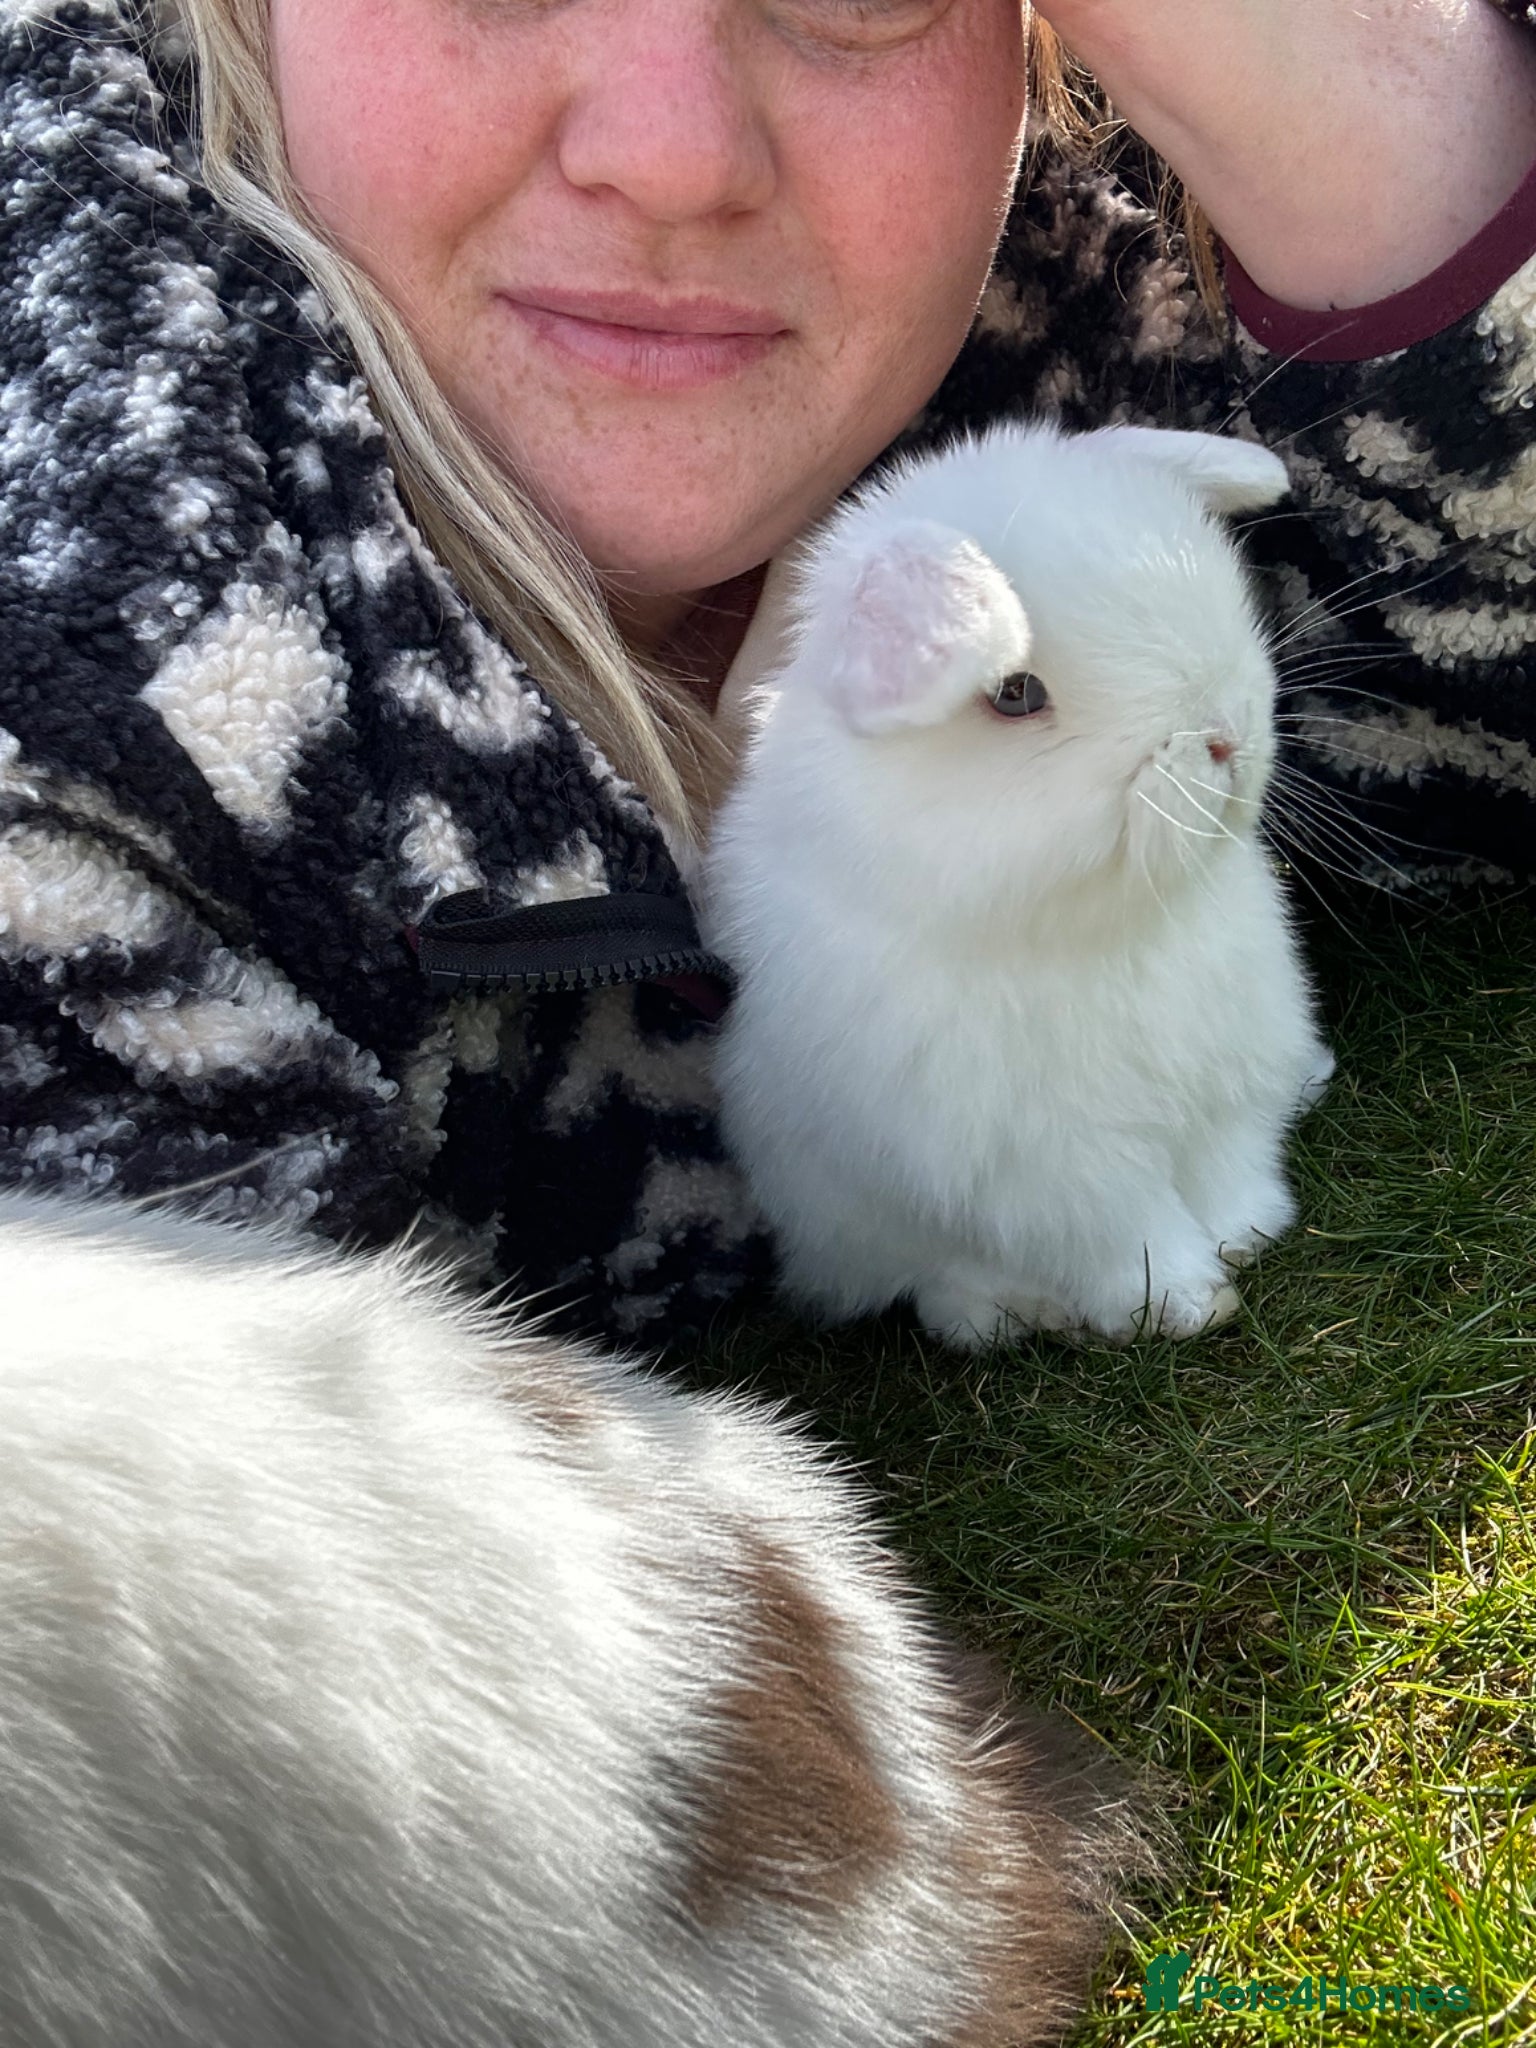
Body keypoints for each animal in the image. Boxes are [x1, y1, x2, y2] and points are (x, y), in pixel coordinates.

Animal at [703, 419, 1334, 1350]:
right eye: (1014, 693)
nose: (1226, 736)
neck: (1109, 927)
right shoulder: (1051, 1165)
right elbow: (1127, 1234)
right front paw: (1185, 1302)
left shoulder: (1230, 1081)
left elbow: (1230, 1165)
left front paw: (1248, 1231)